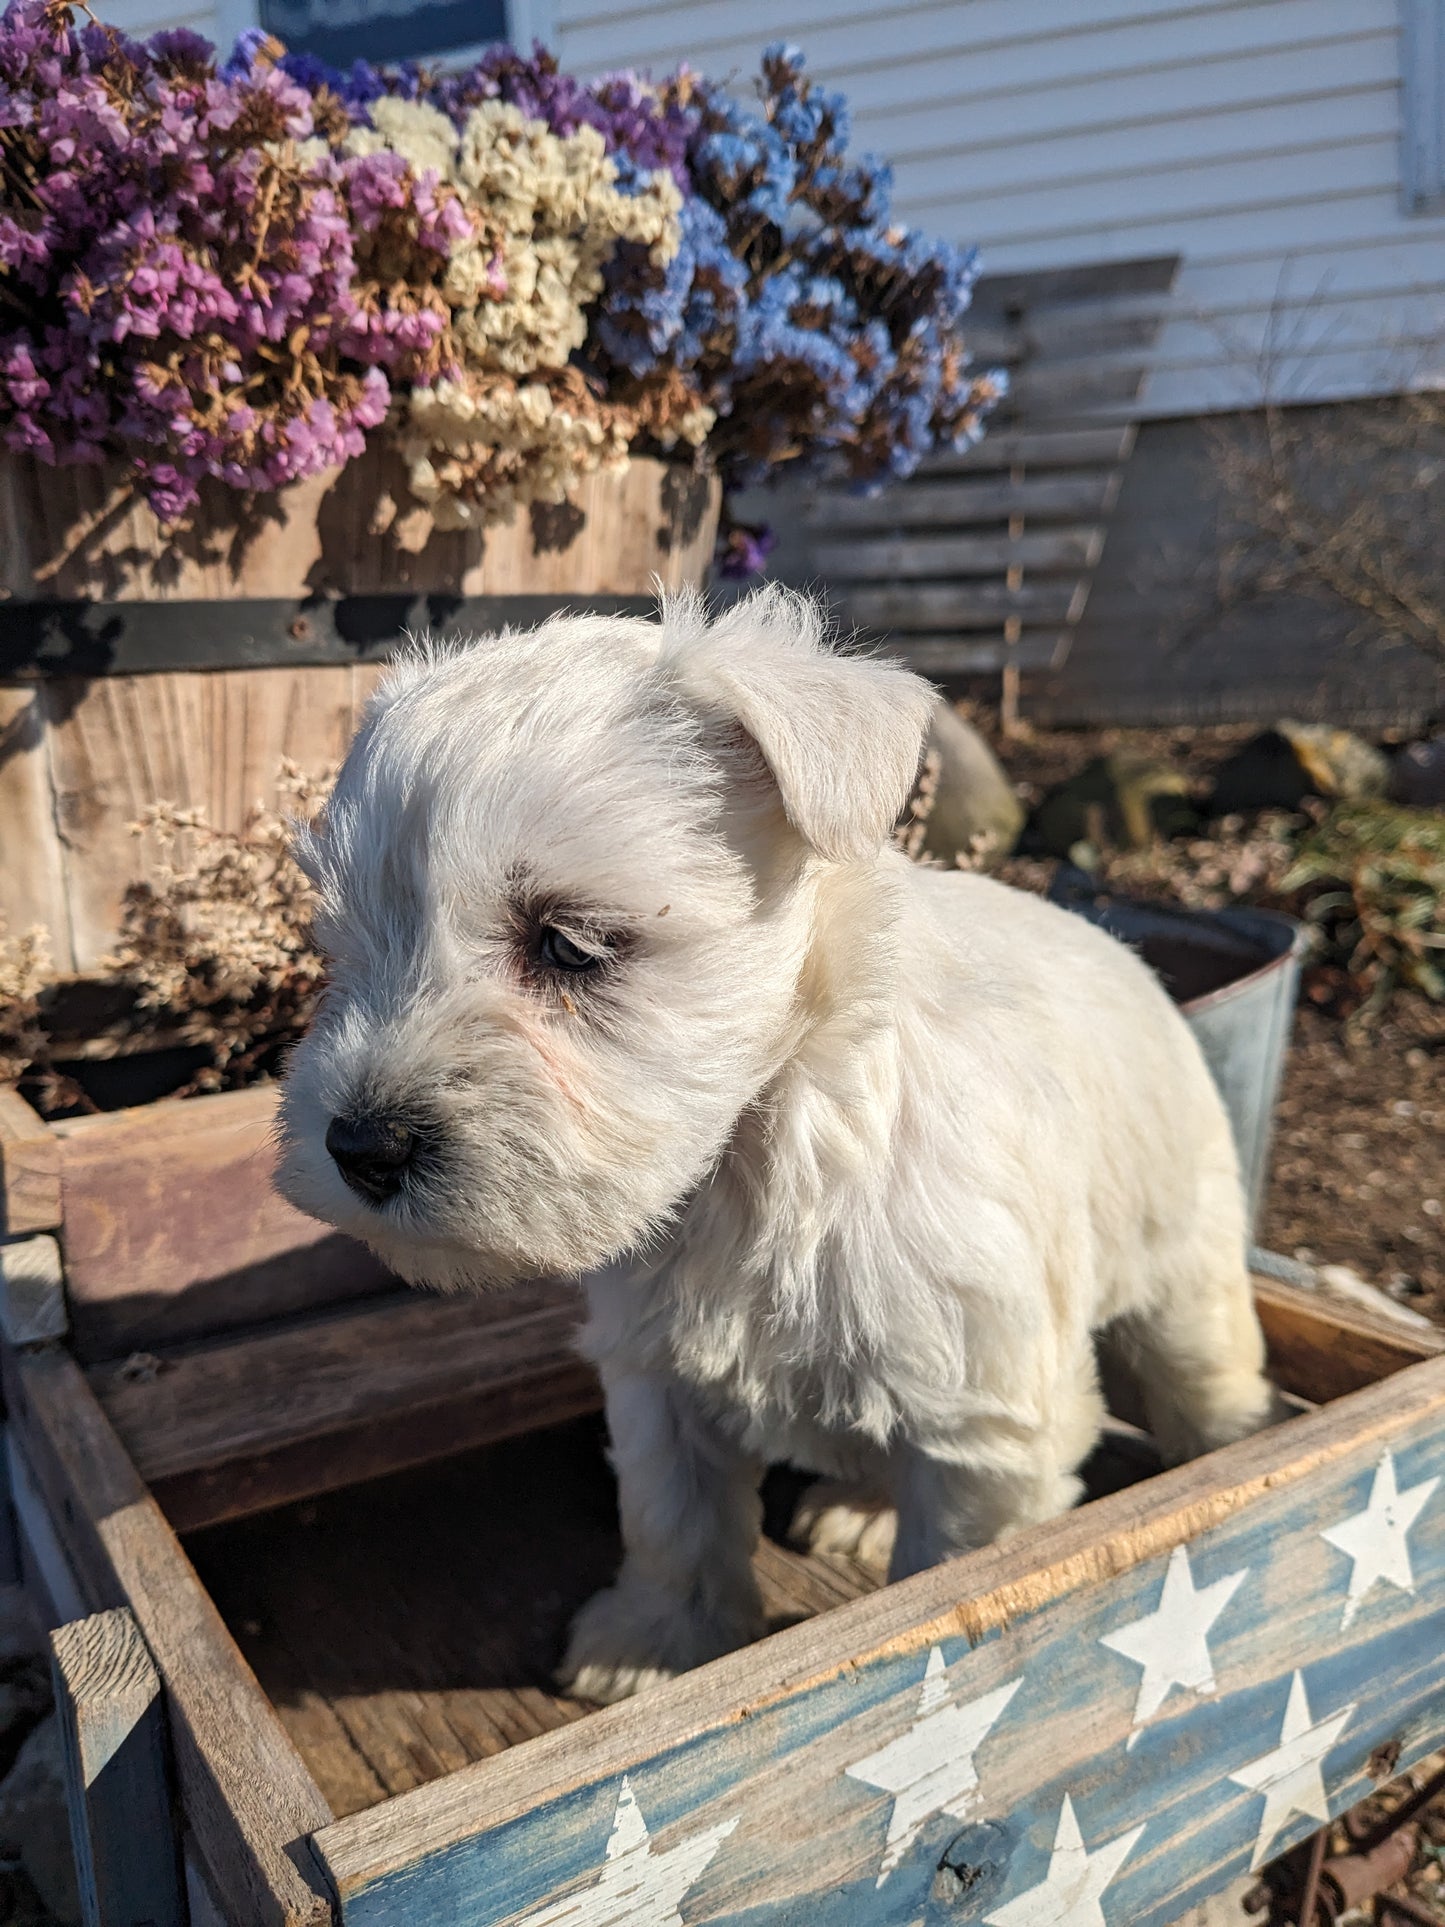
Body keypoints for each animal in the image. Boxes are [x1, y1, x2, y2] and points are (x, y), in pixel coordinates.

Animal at [279, 585, 1279, 1703]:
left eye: (570, 943)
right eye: (338, 951)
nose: (360, 1146)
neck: (769, 1143)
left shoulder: (987, 1416)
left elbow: (944, 1569)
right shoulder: (655, 1373)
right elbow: (672, 1521)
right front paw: (653, 1645)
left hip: (1183, 1259)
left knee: (1207, 1367)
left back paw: (1231, 1439)